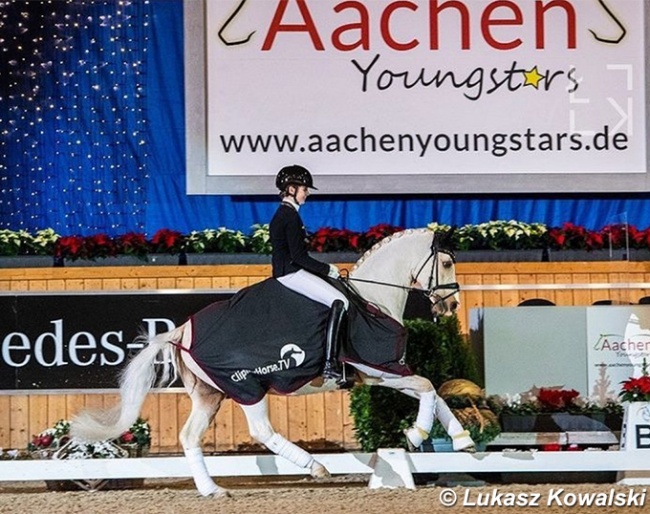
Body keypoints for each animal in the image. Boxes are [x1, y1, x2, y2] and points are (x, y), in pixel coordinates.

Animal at [73, 227, 474, 492]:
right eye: (447, 263)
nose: (452, 305)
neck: (370, 299)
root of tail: (181, 331)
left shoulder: (381, 374)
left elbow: (433, 393)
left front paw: (462, 440)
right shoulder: (379, 370)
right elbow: (428, 386)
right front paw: (416, 433)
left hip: (210, 394)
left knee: (190, 436)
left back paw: (213, 490)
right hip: (248, 386)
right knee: (261, 431)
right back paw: (315, 467)